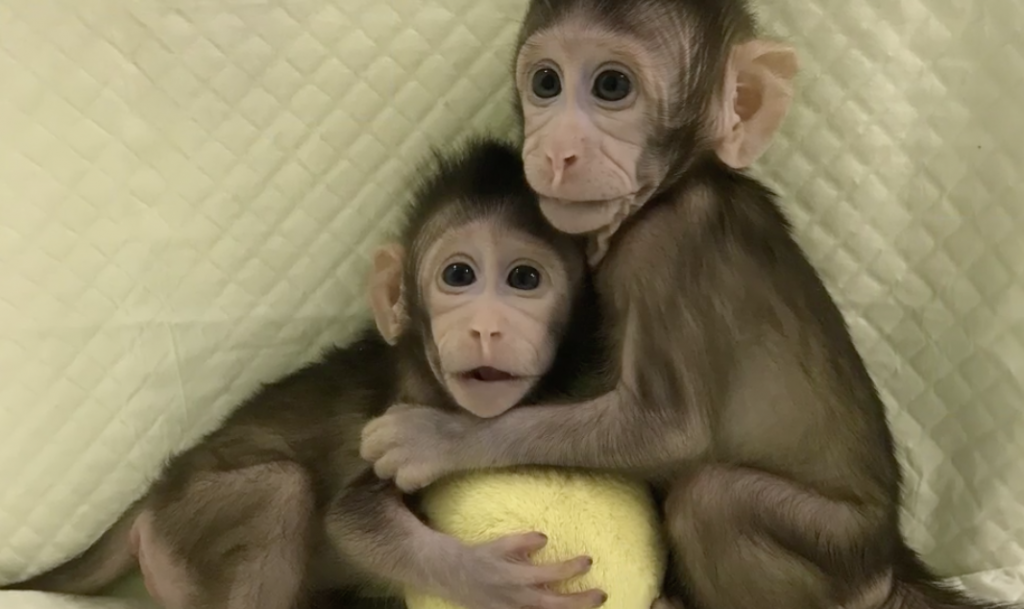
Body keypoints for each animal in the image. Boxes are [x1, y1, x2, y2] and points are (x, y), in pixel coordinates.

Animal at [4, 136, 609, 609]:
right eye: (459, 275)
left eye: (524, 279)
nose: (487, 328)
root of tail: (155, 493)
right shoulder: (398, 411)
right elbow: (350, 519)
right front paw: (487, 579)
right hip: (186, 521)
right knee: (281, 490)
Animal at [359, 2, 1019, 609]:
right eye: (546, 82)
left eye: (612, 87)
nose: (557, 152)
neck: (673, 187)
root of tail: (889, 565)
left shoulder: (665, 248)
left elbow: (668, 429)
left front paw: (438, 438)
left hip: (834, 548)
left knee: (712, 500)